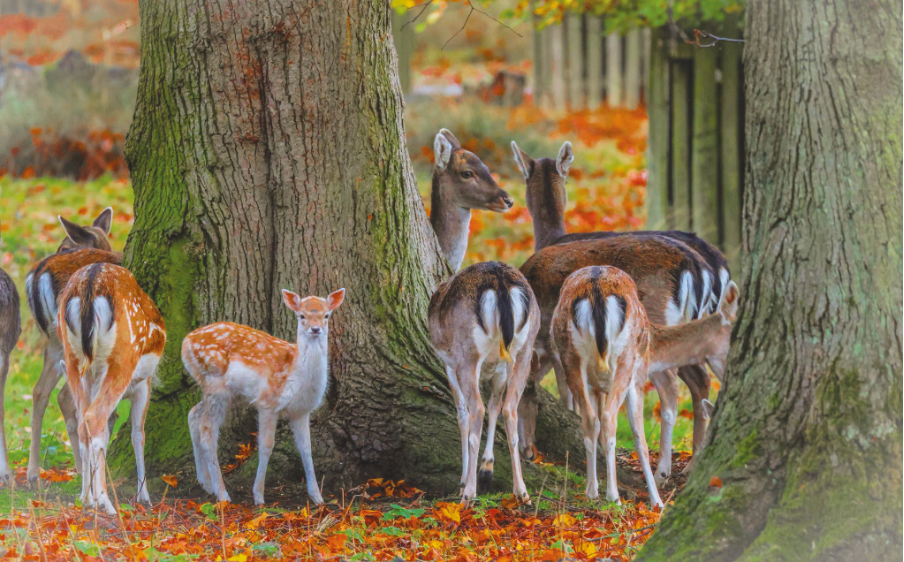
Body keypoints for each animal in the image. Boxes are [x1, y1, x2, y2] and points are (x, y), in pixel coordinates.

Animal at [22, 207, 121, 486]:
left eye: (66, 246)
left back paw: (34, 473)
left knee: (40, 391)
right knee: (67, 397)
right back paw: (80, 470)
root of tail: (37, 273)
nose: (57, 251)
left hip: (55, 341)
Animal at [58, 262, 166, 514]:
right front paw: (144, 496)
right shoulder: (143, 384)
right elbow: (138, 434)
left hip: (74, 361)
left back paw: (86, 498)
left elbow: (107, 435)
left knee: (83, 423)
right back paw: (106, 502)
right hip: (122, 359)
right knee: (94, 417)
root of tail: (90, 282)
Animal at [183, 288, 345, 506]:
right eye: (301, 315)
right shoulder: (267, 402)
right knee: (207, 430)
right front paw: (258, 496)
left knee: (194, 414)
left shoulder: (301, 411)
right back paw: (222, 494)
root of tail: (185, 342)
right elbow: (266, 446)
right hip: (215, 384)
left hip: (226, 392)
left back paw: (206, 483)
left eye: (326, 315)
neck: (296, 375)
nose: (315, 329)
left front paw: (317, 497)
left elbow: (306, 448)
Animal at [428, 261, 540, 504]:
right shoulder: (499, 370)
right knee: (509, 408)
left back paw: (469, 494)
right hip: (524, 350)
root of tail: (499, 282)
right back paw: (522, 492)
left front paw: (463, 481)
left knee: (476, 410)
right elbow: (495, 406)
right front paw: (486, 468)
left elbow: (462, 414)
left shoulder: (450, 365)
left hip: (467, 354)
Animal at [551, 265, 739, 507]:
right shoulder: (638, 377)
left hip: (570, 358)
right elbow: (639, 438)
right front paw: (657, 501)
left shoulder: (595, 385)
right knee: (610, 419)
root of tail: (596, 290)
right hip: (624, 360)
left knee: (591, 420)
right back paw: (614, 496)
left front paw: (592, 488)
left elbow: (594, 424)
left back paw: (593, 492)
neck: (653, 349)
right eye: (734, 337)